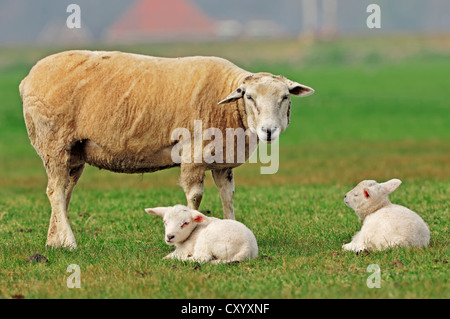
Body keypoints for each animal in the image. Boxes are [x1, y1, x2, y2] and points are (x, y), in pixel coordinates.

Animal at [19, 50, 314, 250]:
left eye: (285, 97)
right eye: (249, 97)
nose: (268, 131)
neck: (231, 109)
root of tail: (27, 79)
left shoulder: (222, 162)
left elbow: (227, 197)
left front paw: (234, 228)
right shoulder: (194, 152)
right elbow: (194, 198)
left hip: (74, 151)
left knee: (64, 191)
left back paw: (53, 241)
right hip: (53, 141)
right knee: (55, 191)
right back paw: (69, 242)